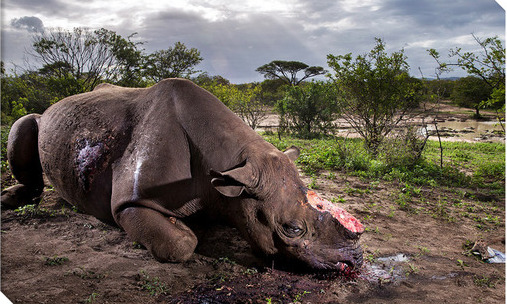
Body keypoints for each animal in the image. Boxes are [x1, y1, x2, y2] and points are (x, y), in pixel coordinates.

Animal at [0, 78, 366, 270]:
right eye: (291, 229)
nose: (354, 262)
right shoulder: (129, 202)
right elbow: (180, 244)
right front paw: (188, 231)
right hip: (44, 120)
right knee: (25, 123)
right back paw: (14, 199)